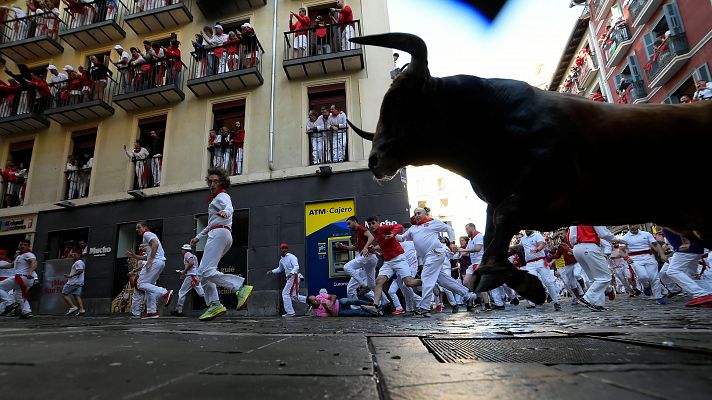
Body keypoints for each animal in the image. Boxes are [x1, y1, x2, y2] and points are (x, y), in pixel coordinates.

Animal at [348, 34, 712, 304]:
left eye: (399, 101)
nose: (375, 160)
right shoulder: (499, 199)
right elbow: (492, 235)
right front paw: (517, 280)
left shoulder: (544, 183)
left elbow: (501, 226)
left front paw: (506, 277)